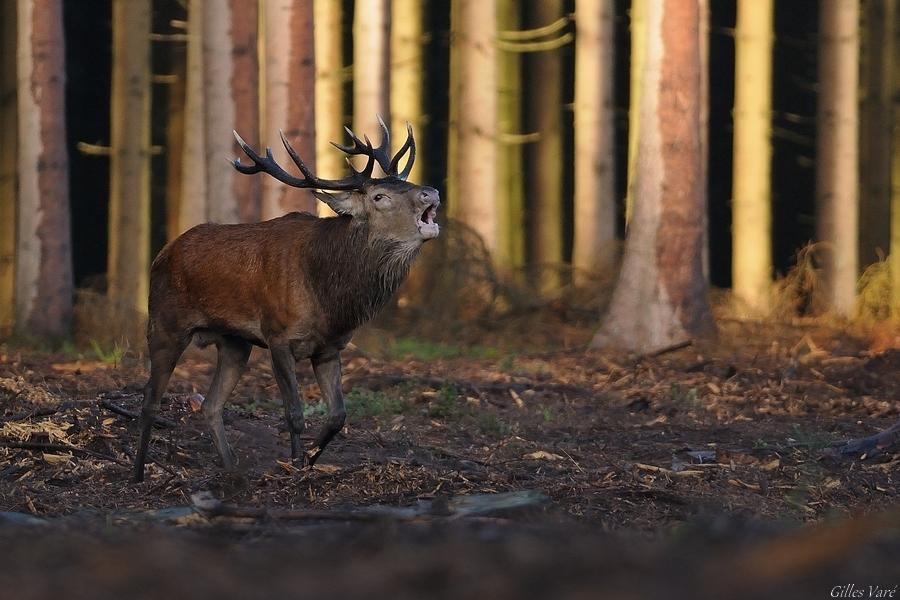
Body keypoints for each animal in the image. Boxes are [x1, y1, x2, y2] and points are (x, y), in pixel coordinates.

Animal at [132, 118, 439, 482]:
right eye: (380, 196)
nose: (432, 192)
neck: (330, 300)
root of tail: (161, 254)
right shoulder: (278, 336)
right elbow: (294, 412)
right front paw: (293, 467)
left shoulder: (330, 347)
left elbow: (338, 415)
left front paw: (308, 459)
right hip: (165, 324)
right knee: (150, 398)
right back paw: (137, 474)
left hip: (235, 343)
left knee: (210, 405)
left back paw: (231, 469)